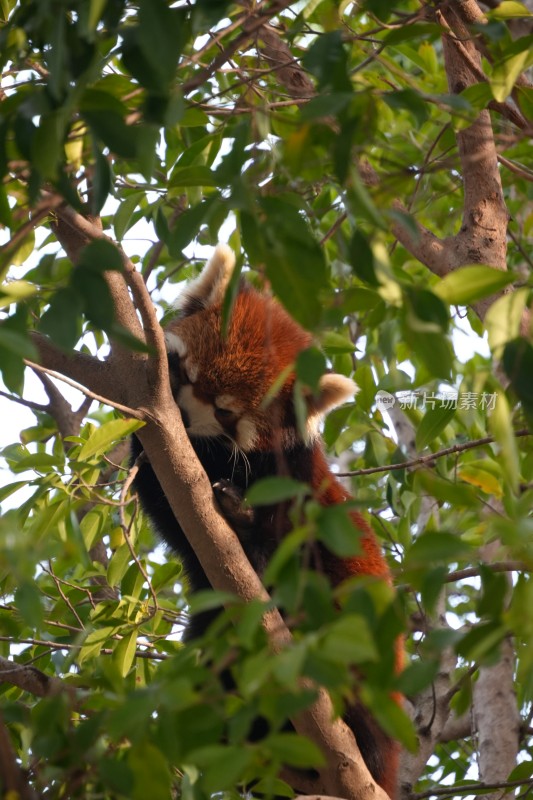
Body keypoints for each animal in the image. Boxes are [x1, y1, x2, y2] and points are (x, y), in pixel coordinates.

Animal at [131, 245, 402, 800]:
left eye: (227, 413)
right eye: (184, 374)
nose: (182, 419)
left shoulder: (293, 486)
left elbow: (276, 551)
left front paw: (241, 517)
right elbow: (172, 511)